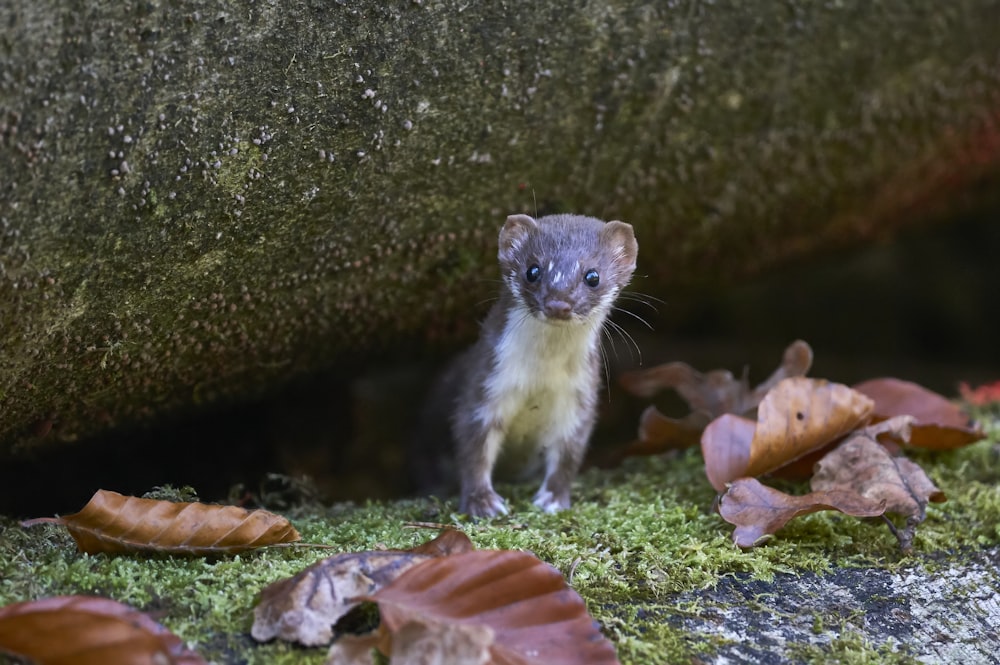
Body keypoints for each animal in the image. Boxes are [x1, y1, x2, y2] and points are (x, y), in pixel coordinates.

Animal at [450, 215, 636, 516]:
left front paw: (553, 499)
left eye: (592, 276)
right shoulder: (485, 385)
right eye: (533, 270)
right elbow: (472, 446)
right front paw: (483, 502)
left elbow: (569, 453)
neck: (540, 379)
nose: (559, 303)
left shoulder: (579, 398)